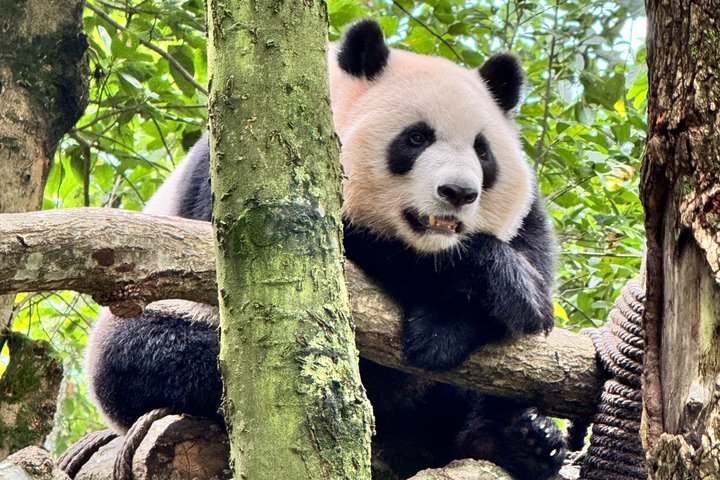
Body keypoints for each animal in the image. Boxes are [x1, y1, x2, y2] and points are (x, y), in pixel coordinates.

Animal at [85, 19, 566, 480]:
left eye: (482, 151)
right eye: (416, 139)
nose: (458, 192)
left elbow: (534, 256)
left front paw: (466, 316)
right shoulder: (235, 173)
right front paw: (481, 283)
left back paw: (519, 440)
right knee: (153, 355)